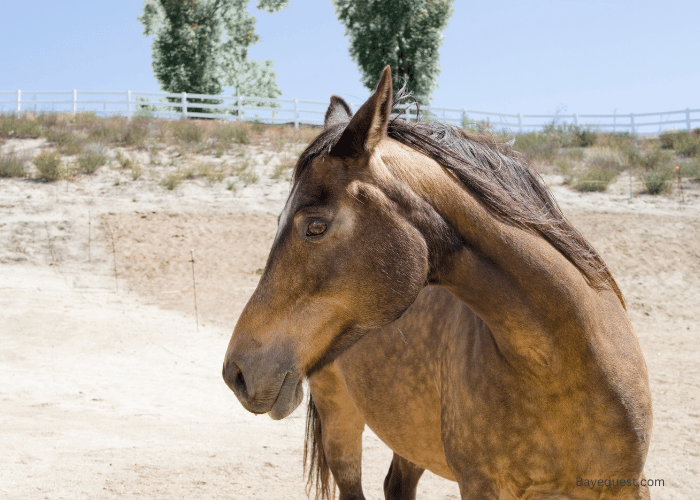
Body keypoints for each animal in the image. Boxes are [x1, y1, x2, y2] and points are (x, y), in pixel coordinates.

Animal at [223, 67, 652, 500]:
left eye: (314, 226)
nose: (236, 373)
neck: (561, 367)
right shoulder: (481, 487)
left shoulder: (626, 485)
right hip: (339, 415)